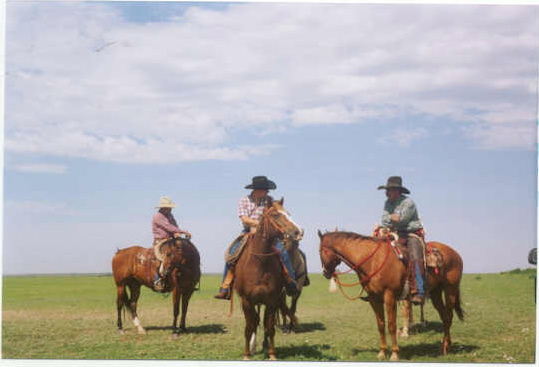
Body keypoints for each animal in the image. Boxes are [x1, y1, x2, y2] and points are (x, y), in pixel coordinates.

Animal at [235, 200, 304, 360]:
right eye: (275, 215)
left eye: (288, 213)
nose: (298, 232)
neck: (259, 263)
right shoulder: (247, 301)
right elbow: (249, 327)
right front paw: (246, 354)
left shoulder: (272, 301)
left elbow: (270, 327)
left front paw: (272, 354)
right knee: (254, 322)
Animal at [318, 231, 466, 360]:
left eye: (320, 251)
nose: (325, 273)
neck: (373, 260)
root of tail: (455, 254)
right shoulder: (374, 299)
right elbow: (381, 324)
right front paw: (382, 352)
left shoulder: (390, 296)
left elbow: (391, 325)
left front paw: (395, 354)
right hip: (436, 292)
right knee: (445, 316)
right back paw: (446, 346)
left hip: (450, 290)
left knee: (449, 316)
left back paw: (445, 348)